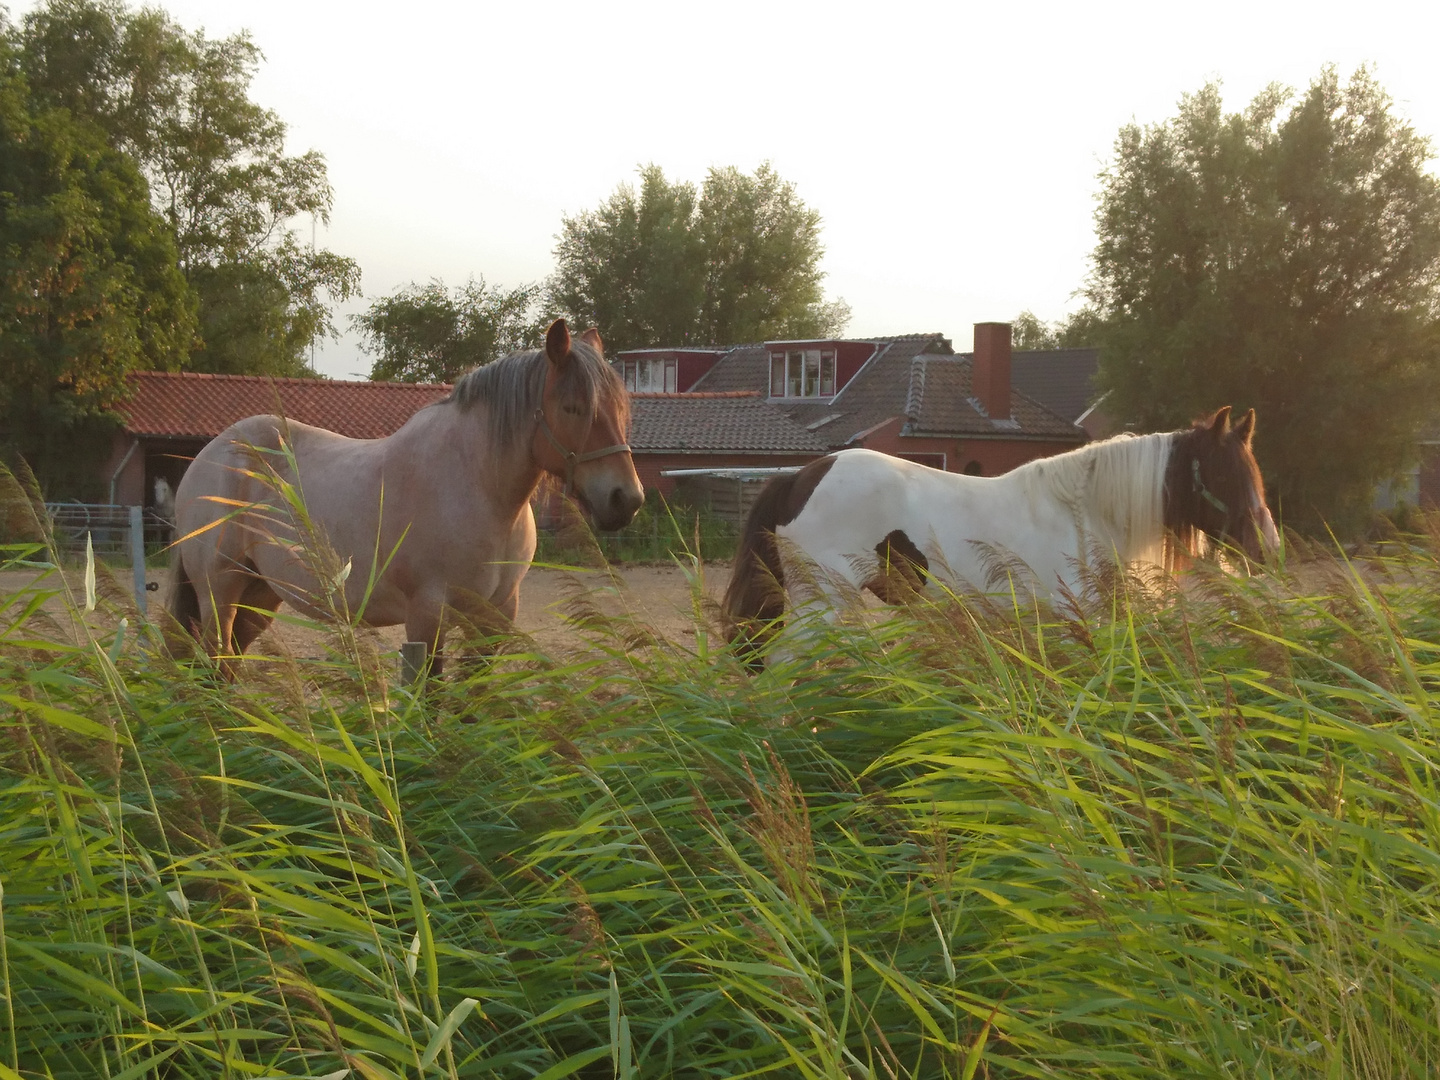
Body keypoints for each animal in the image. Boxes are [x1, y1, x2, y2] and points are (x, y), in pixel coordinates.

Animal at [168, 319, 642, 676]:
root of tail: (210, 454)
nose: (626, 500)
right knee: (214, 663)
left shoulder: (496, 617)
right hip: (220, 595)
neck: (480, 490)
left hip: (261, 594)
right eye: (572, 408)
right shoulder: (427, 617)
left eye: (622, 408)